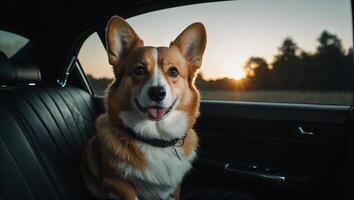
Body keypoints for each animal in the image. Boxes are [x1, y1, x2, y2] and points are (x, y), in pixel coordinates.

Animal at [80, 16, 206, 200]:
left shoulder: (175, 188)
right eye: (139, 70)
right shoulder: (115, 182)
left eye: (173, 72)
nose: (157, 93)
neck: (156, 139)